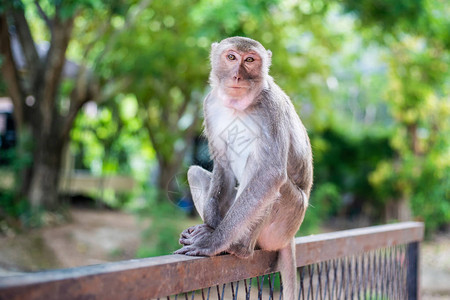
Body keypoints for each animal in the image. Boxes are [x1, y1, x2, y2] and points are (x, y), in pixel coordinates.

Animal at [175, 36, 312, 298]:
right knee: (195, 172)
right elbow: (223, 165)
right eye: (231, 57)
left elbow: (269, 174)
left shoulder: (271, 109)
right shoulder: (210, 103)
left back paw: (240, 247)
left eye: (250, 60)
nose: (237, 75)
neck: (237, 105)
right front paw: (209, 228)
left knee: (268, 181)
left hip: (288, 220)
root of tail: (290, 237)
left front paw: (213, 241)